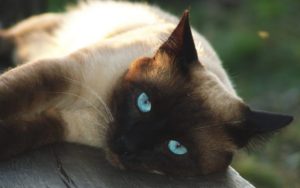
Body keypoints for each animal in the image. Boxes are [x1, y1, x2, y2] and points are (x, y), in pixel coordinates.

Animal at [0, 1, 292, 176]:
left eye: (176, 147)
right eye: (144, 102)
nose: (126, 146)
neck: (97, 113)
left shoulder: (57, 123)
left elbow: (15, 137)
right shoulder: (62, 73)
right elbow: (11, 93)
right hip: (32, 41)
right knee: (10, 37)